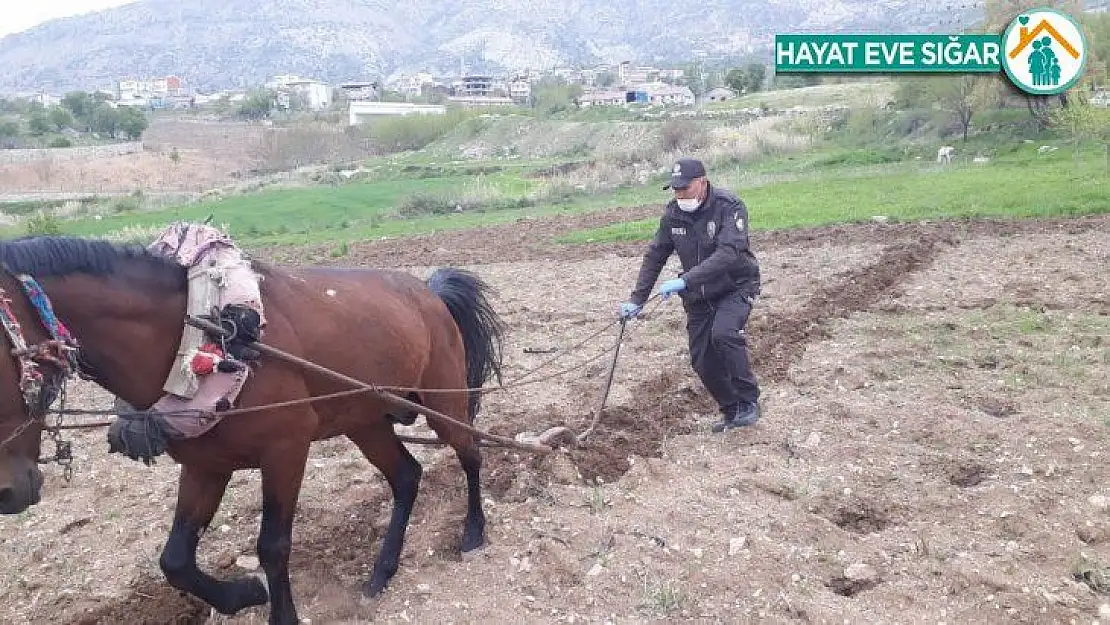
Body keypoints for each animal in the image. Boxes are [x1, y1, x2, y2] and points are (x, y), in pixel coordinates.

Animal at [0, 236, 508, 625]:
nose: (8, 493)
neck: (208, 335)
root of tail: (428, 291)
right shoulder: (205, 466)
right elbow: (176, 560)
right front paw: (243, 594)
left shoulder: (285, 450)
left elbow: (273, 546)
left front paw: (280, 613)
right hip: (363, 420)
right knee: (406, 476)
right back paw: (382, 571)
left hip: (444, 399)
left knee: (470, 453)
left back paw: (472, 534)